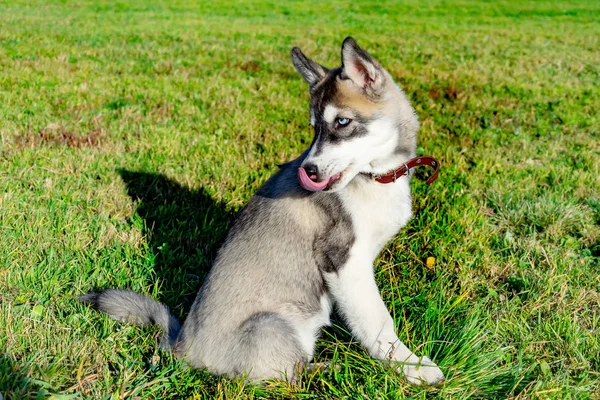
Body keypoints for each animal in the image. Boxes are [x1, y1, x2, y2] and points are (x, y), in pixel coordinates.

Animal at [81, 36, 446, 384]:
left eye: (342, 122)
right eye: (315, 128)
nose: (309, 171)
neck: (374, 178)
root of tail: (182, 345)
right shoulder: (343, 261)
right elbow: (378, 323)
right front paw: (412, 369)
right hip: (274, 325)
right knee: (288, 375)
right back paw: (330, 368)